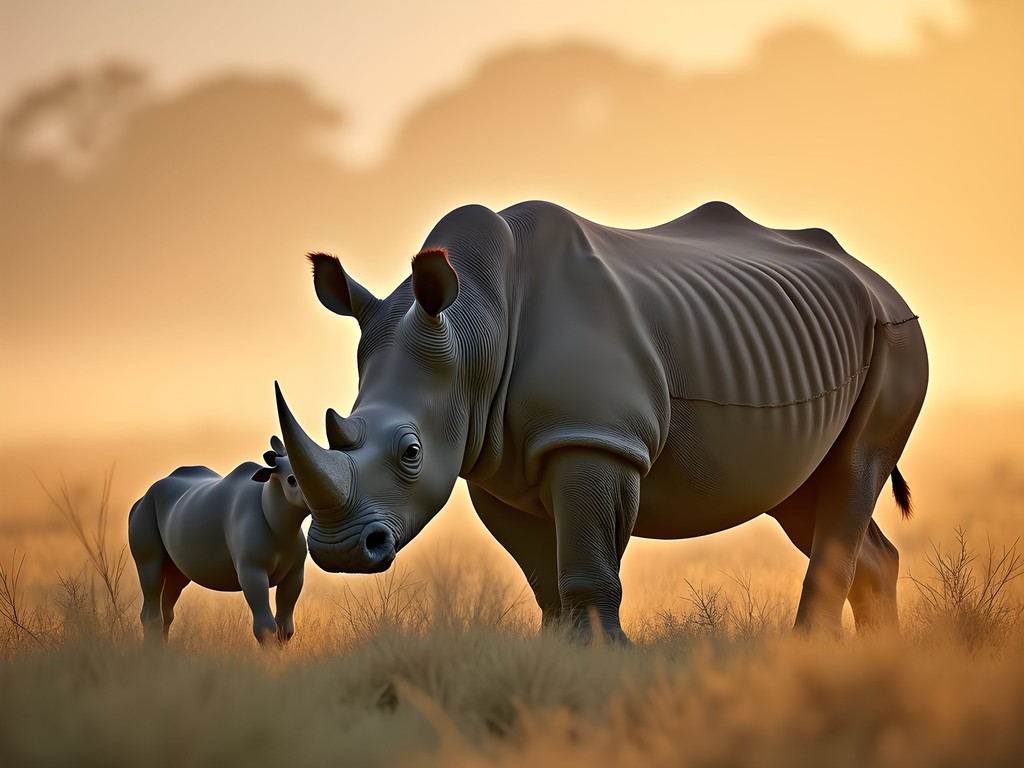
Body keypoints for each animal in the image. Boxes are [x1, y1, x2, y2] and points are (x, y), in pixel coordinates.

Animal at [128, 436, 309, 644]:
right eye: (291, 480)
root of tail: (140, 499)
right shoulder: (251, 569)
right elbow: (265, 626)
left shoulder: (295, 572)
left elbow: (285, 628)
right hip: (145, 511)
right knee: (150, 570)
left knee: (174, 581)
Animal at [275, 200, 928, 641]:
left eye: (411, 452)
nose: (338, 550)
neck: (473, 329)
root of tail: (879, 281)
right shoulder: (496, 466)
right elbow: (545, 577)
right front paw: (559, 656)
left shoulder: (595, 438)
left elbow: (590, 568)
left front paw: (605, 657)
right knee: (801, 491)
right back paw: (875, 658)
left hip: (896, 335)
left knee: (854, 468)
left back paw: (808, 653)